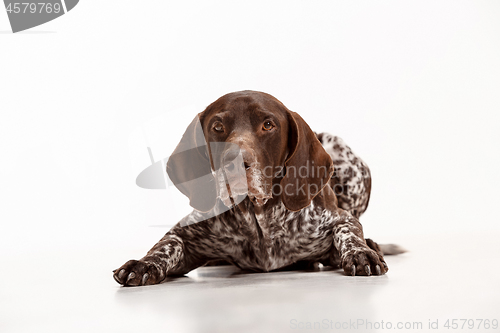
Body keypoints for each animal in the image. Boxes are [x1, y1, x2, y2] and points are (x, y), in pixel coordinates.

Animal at [113, 90, 394, 286]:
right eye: (217, 127)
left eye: (268, 125)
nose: (235, 163)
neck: (259, 218)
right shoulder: (186, 235)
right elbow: (165, 245)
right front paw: (143, 264)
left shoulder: (339, 219)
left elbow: (348, 232)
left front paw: (360, 252)